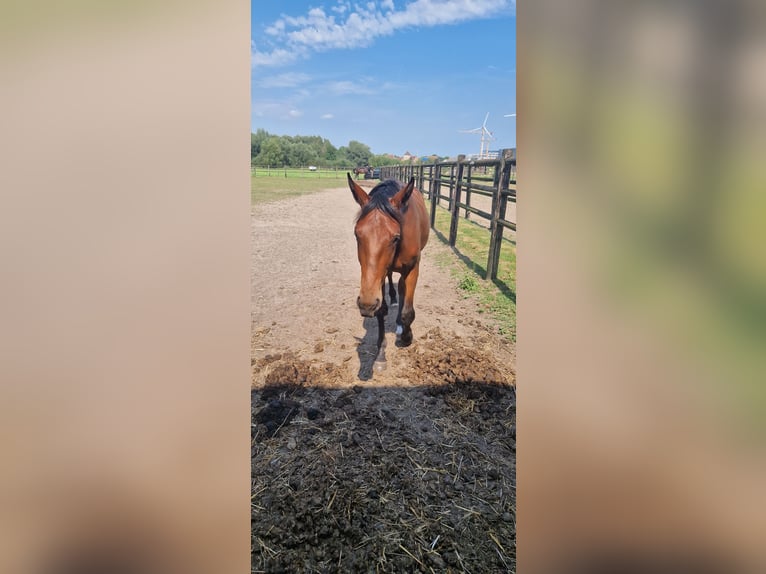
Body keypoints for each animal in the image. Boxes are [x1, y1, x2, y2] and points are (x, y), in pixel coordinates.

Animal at [350, 173, 432, 364]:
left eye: (395, 237)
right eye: (357, 234)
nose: (366, 304)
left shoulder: (412, 269)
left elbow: (408, 311)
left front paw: (406, 337)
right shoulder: (375, 278)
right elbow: (381, 310)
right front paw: (381, 351)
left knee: (402, 289)